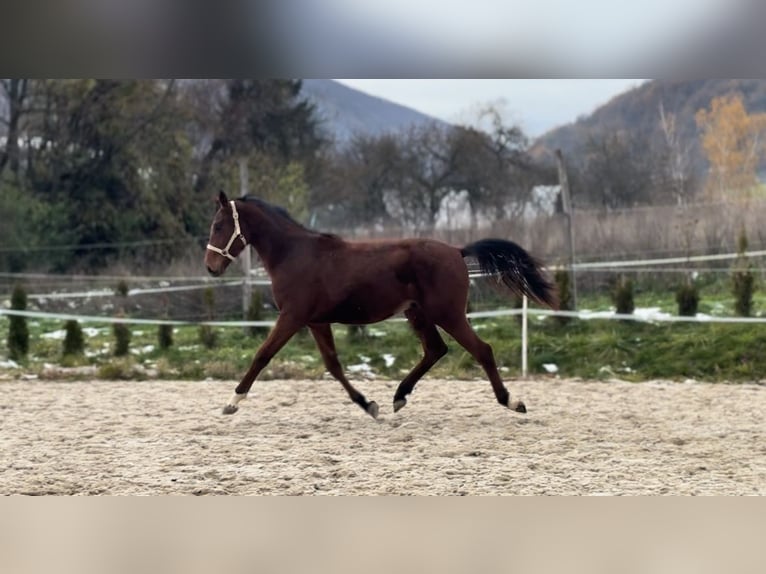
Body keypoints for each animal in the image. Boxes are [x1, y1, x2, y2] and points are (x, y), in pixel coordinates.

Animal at [204, 191, 560, 420]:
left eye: (219, 225)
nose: (210, 267)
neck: (294, 254)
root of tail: (457, 251)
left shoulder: (292, 317)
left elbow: (262, 355)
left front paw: (232, 402)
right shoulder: (316, 321)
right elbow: (333, 365)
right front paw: (368, 405)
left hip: (448, 313)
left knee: (481, 350)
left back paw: (512, 402)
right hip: (418, 313)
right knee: (435, 350)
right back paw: (399, 396)